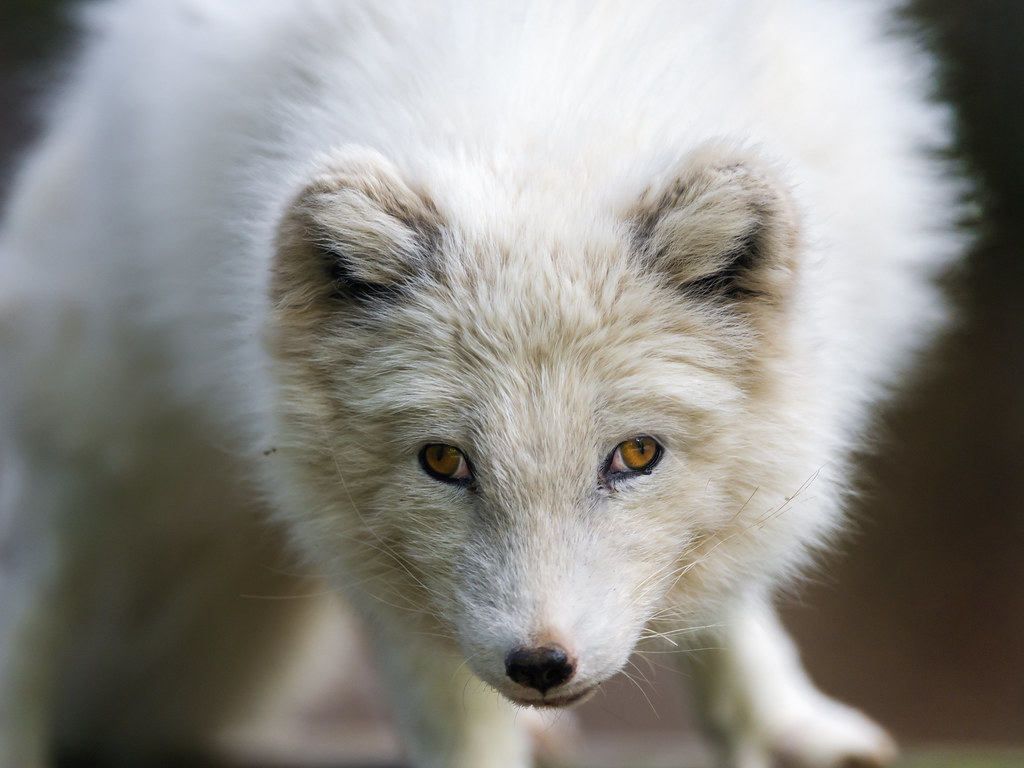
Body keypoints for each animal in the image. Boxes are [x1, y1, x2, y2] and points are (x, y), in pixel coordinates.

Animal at [0, 1, 963, 767]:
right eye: (443, 462)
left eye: (636, 455)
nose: (540, 665)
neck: (544, 112)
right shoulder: (376, 544)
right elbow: (442, 700)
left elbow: (726, 599)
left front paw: (777, 726)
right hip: (100, 441)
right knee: (35, 594)